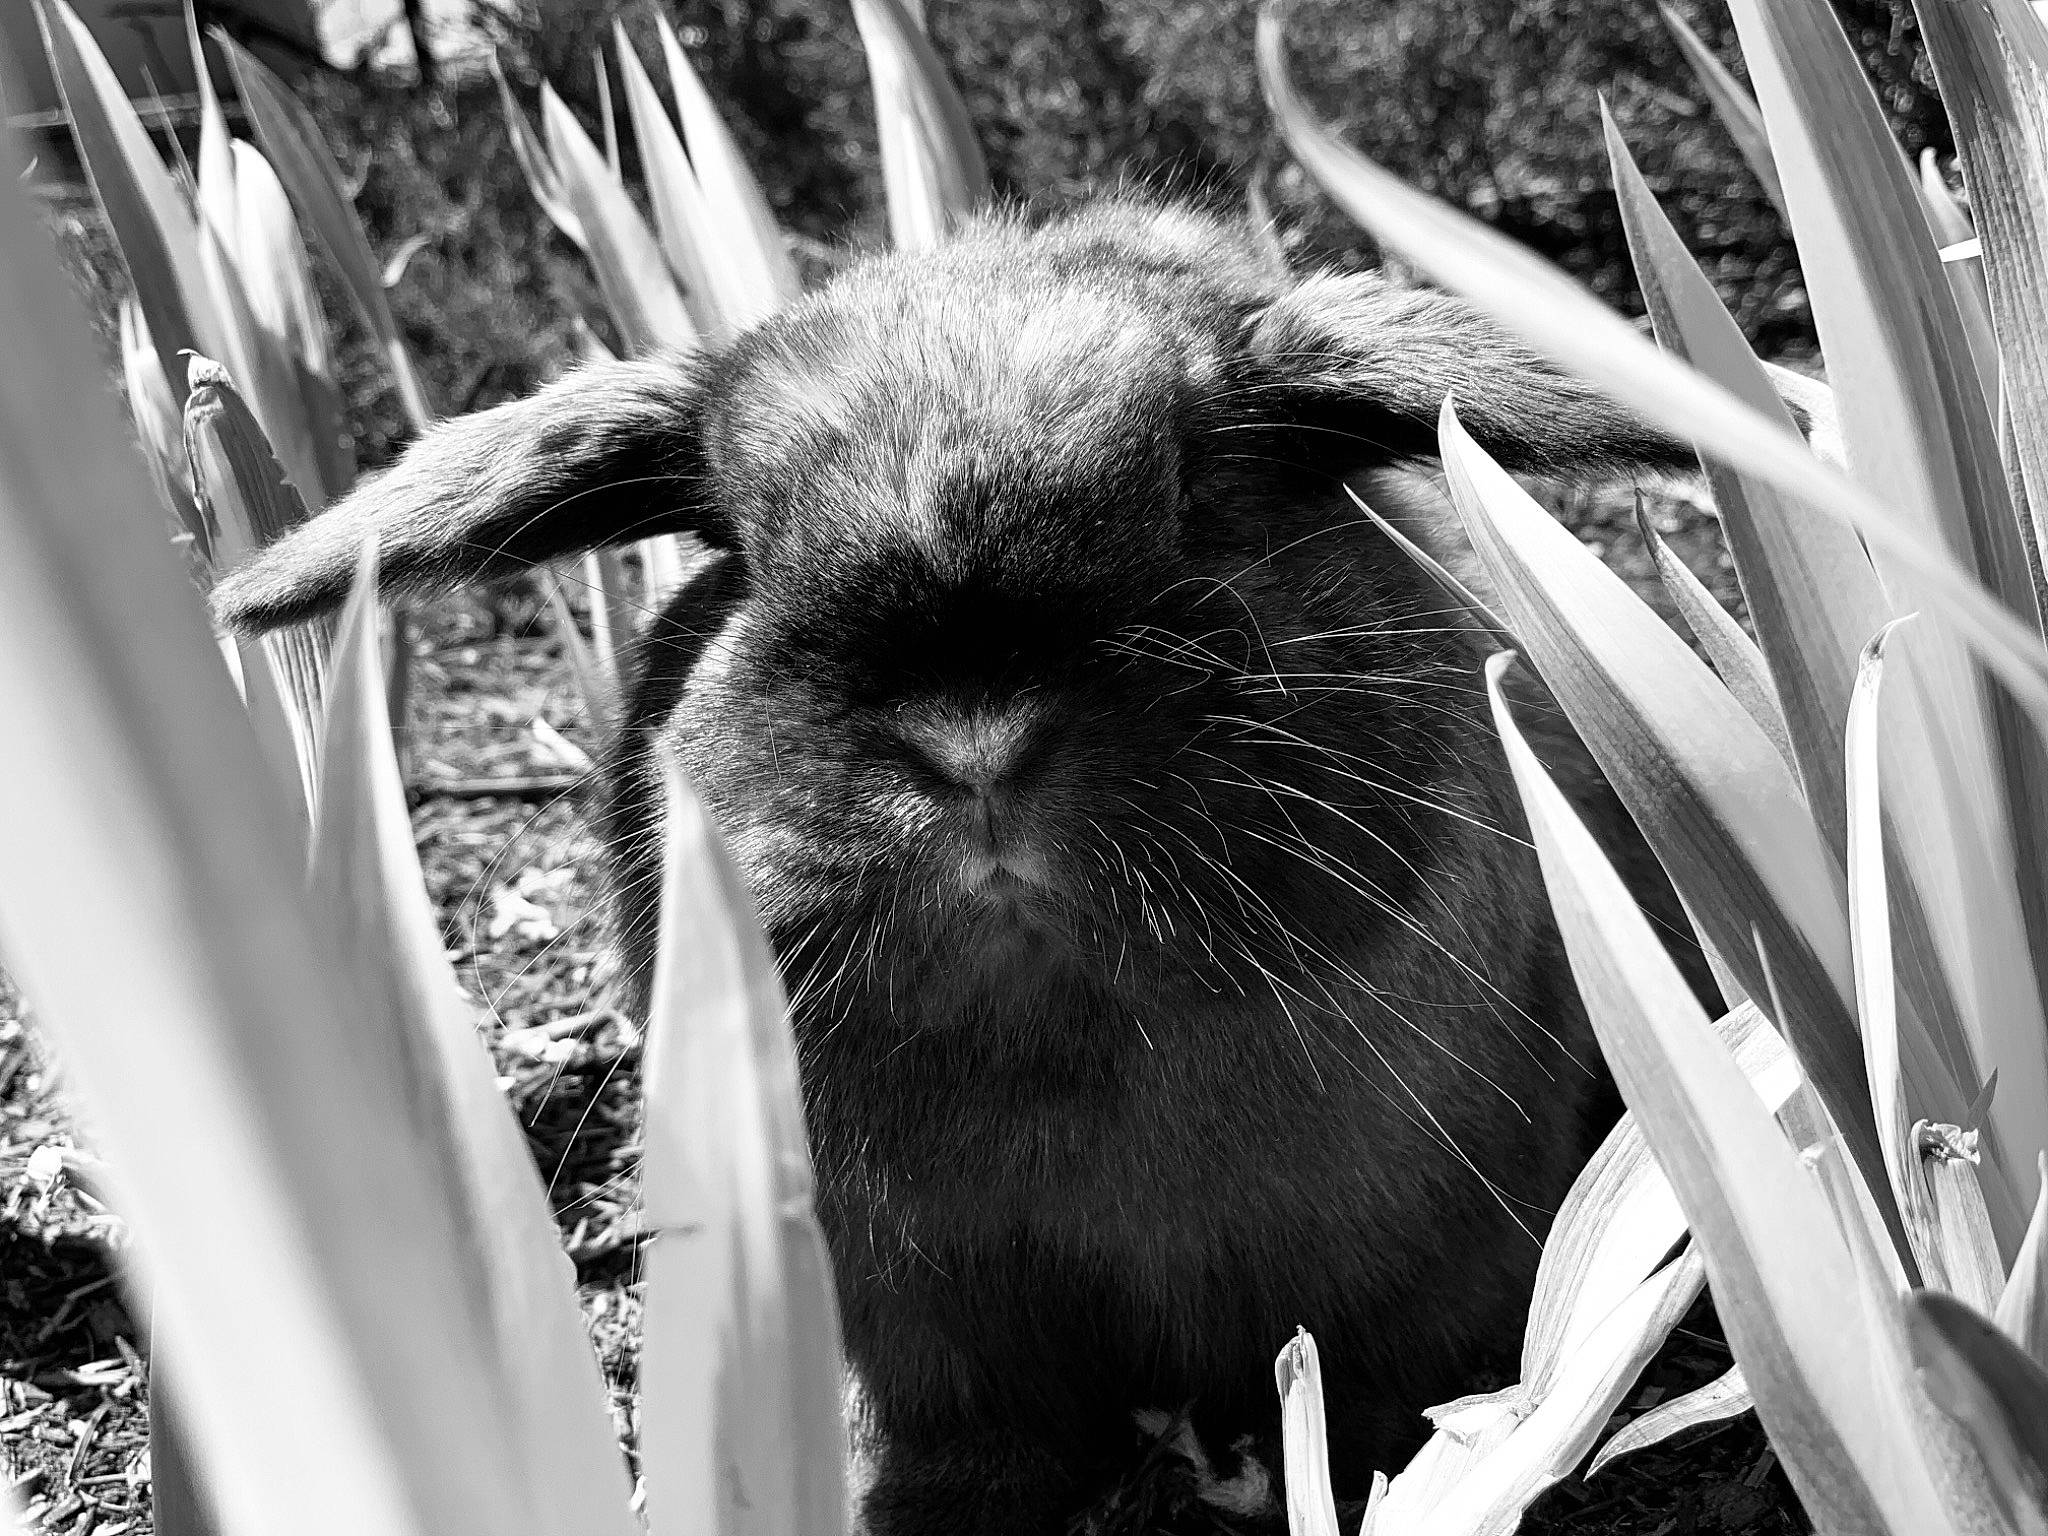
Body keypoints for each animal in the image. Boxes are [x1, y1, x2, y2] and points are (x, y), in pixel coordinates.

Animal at [214, 201, 1774, 1535]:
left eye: (1201, 487)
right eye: (739, 547)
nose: (971, 743)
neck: (1057, 1049)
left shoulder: (1423, 1285)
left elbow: (1384, 1413)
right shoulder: (931, 1343)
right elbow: (964, 1461)